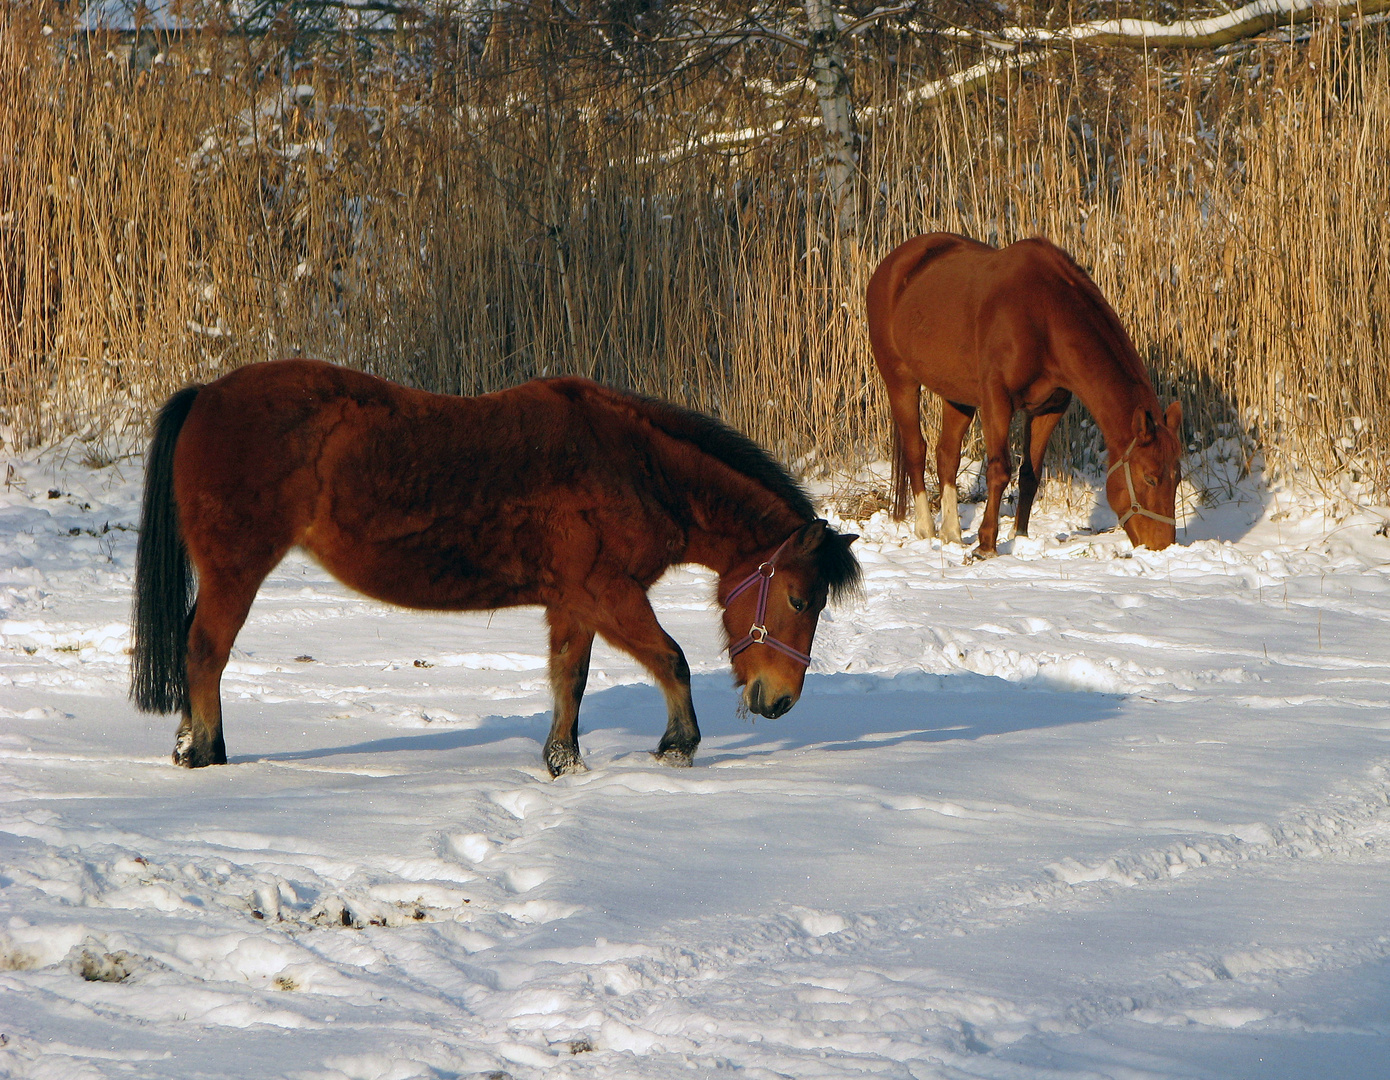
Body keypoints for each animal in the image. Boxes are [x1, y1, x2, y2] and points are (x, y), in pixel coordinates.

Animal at [135, 361, 861, 772]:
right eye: (800, 600)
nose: (780, 702)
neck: (633, 466)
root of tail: (208, 394)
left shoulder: (573, 602)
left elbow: (570, 679)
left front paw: (564, 762)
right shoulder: (610, 593)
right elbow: (671, 660)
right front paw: (679, 744)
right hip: (237, 569)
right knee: (205, 651)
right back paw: (205, 753)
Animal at [867, 236, 1184, 555]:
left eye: (1177, 477)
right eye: (1150, 478)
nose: (1162, 546)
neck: (1044, 316)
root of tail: (892, 264)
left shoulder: (1049, 408)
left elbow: (1030, 474)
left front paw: (1020, 536)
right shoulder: (997, 401)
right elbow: (999, 470)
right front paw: (986, 544)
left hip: (957, 395)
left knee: (946, 455)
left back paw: (952, 533)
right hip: (900, 381)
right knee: (915, 450)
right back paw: (926, 528)